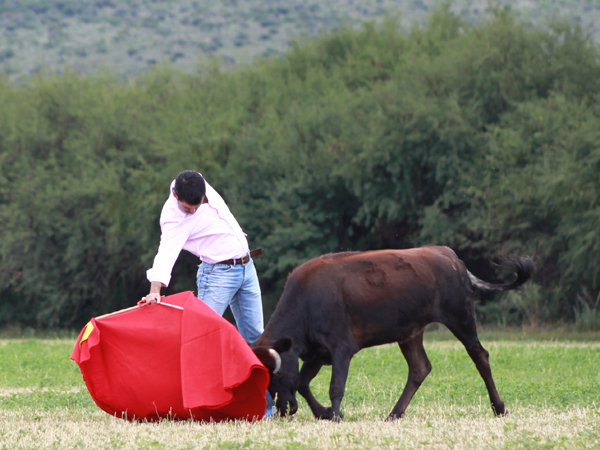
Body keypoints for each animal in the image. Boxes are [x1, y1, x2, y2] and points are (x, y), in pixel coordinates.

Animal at [252, 244, 536, 420]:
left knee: (480, 356)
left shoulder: (341, 347)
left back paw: (500, 408)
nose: (284, 410)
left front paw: (333, 415)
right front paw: (324, 412)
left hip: (461, 316)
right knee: (420, 368)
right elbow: (302, 382)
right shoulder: (316, 352)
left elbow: (336, 386)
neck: (307, 301)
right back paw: (395, 413)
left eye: (277, 376)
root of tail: (448, 255)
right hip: (410, 333)